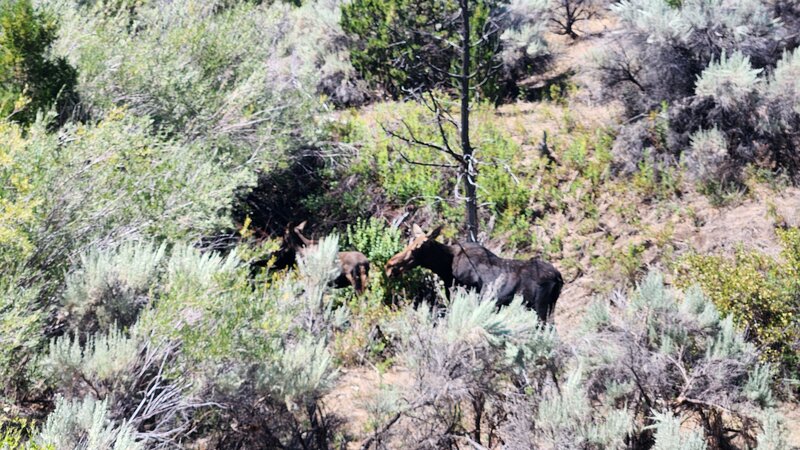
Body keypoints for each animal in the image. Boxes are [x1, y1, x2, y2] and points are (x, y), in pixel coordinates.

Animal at [382, 224, 560, 320]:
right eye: (410, 242)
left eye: (417, 248)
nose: (390, 266)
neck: (445, 267)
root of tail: (559, 278)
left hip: (541, 307)